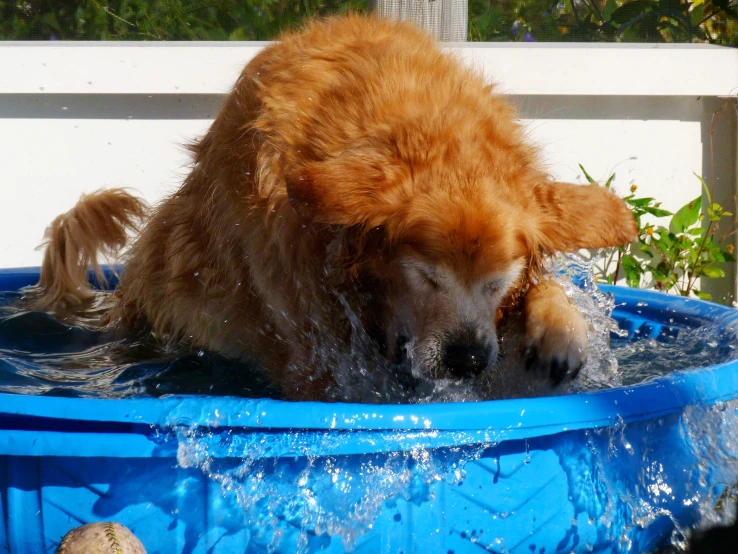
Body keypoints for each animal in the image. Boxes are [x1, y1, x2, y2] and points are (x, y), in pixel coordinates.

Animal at [31, 15, 636, 398]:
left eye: (496, 282)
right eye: (427, 277)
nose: (466, 359)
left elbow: (545, 287)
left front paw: (560, 333)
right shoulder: (313, 351)